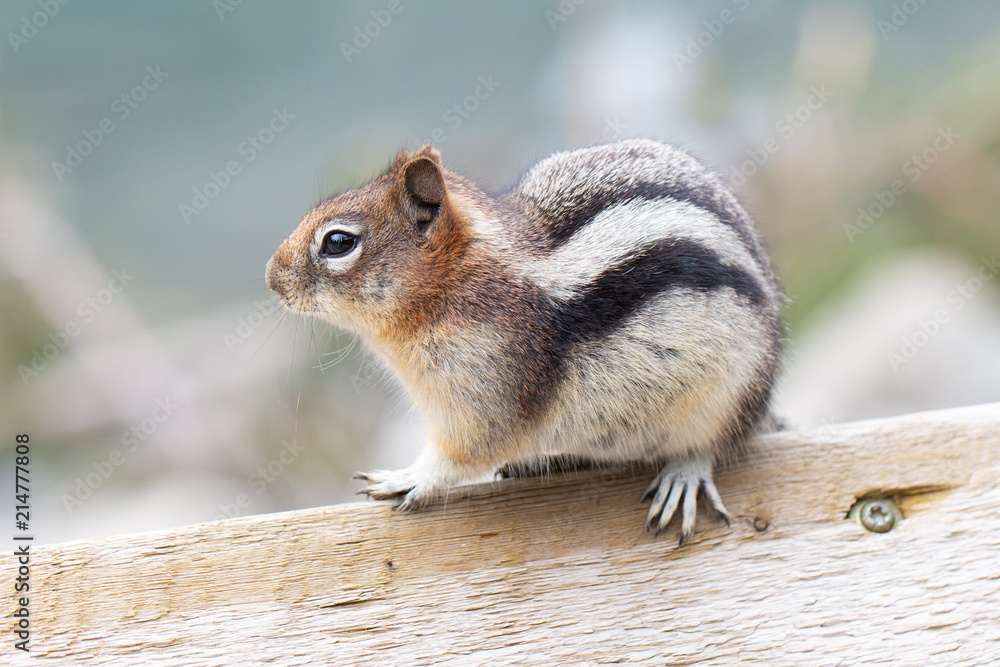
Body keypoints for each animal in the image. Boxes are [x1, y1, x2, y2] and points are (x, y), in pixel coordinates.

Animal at [266, 139, 783, 544]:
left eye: (338, 242)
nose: (271, 278)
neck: (452, 287)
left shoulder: (483, 393)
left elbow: (458, 456)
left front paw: (407, 477)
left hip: (726, 396)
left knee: (715, 442)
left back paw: (684, 474)